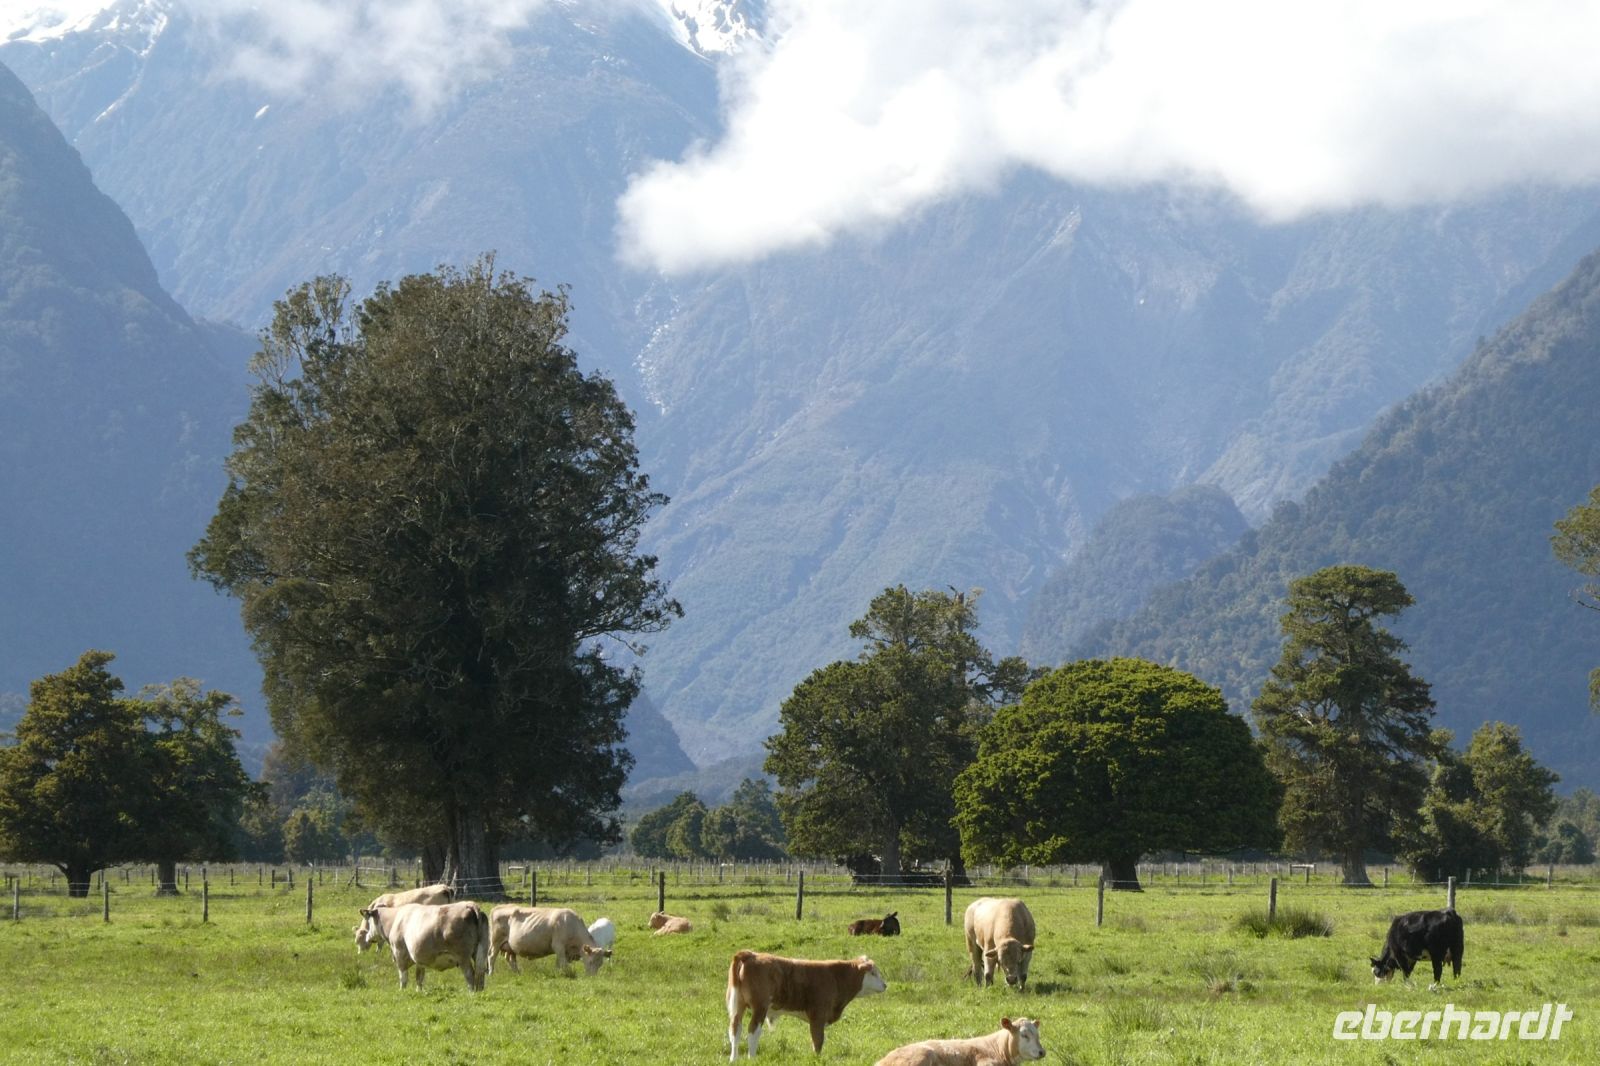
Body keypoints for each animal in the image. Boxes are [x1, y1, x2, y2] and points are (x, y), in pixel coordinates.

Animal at [355, 901, 489, 991]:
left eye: (369, 921)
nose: (368, 938)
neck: (395, 920)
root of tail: (469, 904)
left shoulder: (399, 953)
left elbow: (403, 977)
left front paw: (402, 991)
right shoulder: (419, 958)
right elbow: (419, 977)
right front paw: (418, 991)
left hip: (463, 957)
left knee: (470, 974)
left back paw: (470, 993)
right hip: (480, 953)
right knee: (480, 974)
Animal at [726, 950, 887, 1059]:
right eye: (873, 973)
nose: (885, 985)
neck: (836, 976)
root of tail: (752, 954)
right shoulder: (818, 1016)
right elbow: (818, 1040)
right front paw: (817, 1059)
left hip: (738, 1006)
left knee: (735, 1030)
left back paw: (734, 1059)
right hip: (760, 1007)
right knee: (753, 1031)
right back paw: (751, 1058)